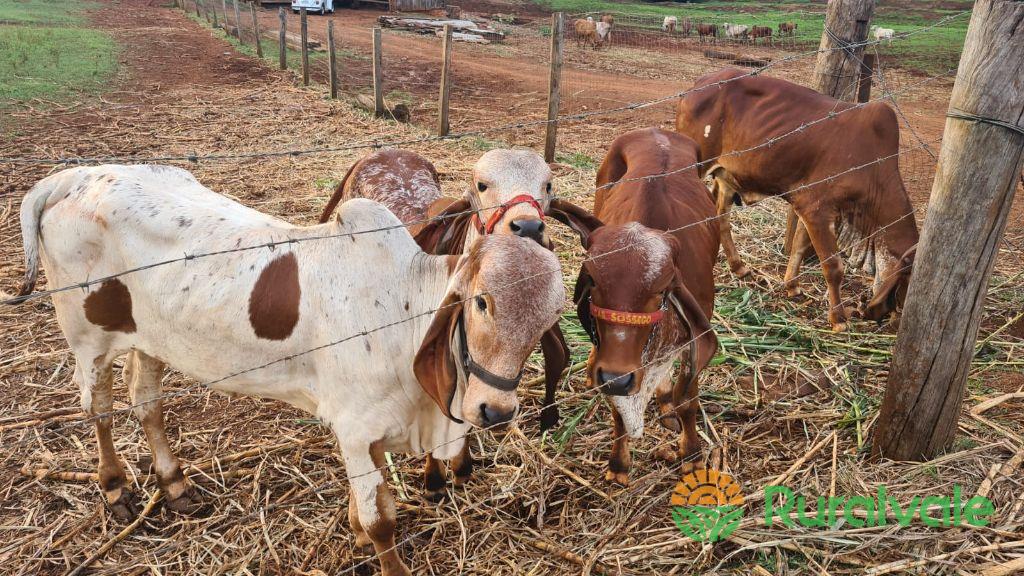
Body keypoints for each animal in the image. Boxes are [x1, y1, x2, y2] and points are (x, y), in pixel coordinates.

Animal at [18, 162, 569, 573]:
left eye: (550, 316)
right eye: (481, 302)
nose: (495, 410)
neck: (404, 304)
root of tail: (74, 177)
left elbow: (369, 503)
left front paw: (355, 531)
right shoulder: (357, 429)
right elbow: (382, 519)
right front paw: (375, 545)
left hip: (151, 339)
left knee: (147, 404)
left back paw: (175, 485)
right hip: (87, 337)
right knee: (100, 410)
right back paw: (115, 488)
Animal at [557, 127, 716, 481]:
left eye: (661, 290)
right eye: (592, 281)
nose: (616, 377)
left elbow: (689, 399)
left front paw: (692, 453)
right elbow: (618, 408)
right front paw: (618, 463)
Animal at [679, 70, 921, 332]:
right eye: (907, 286)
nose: (897, 324)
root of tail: (698, 84)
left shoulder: (809, 209)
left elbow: (799, 247)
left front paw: (792, 287)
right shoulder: (817, 209)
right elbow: (833, 267)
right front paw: (838, 319)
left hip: (726, 177)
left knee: (720, 217)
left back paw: (739, 267)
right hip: (695, 167)